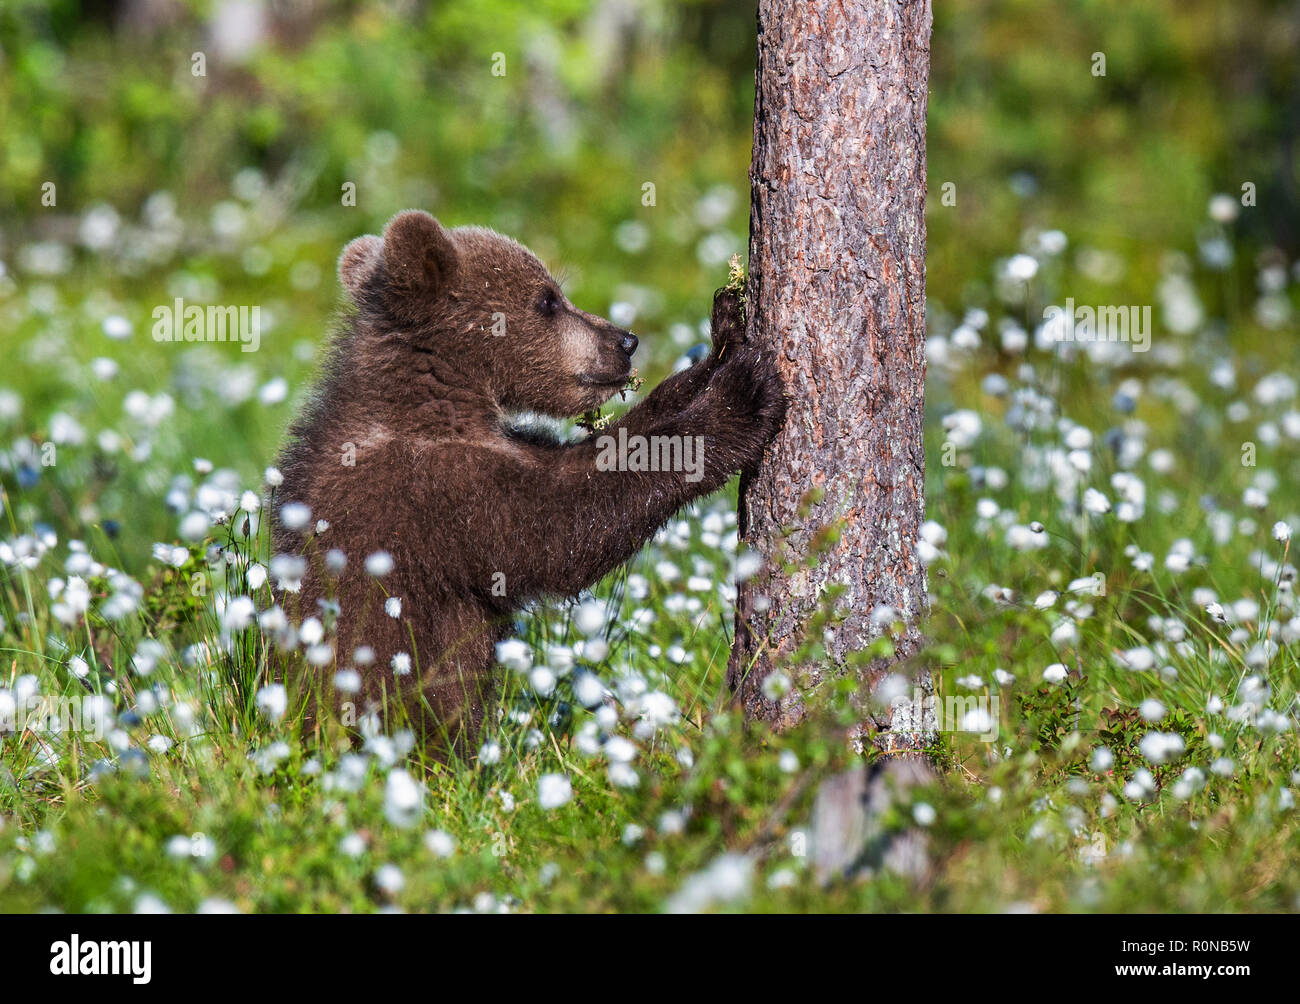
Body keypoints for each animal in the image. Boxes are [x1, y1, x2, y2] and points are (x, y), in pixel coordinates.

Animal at [271, 209, 785, 750]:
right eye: (547, 299)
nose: (624, 341)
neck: (435, 402)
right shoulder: (434, 493)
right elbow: (564, 528)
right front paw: (742, 395)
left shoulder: (506, 449)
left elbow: (591, 456)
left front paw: (726, 334)